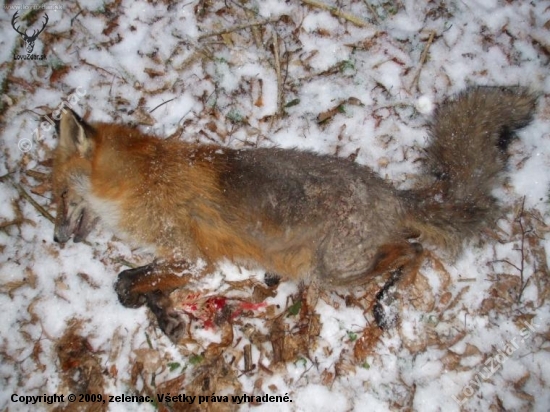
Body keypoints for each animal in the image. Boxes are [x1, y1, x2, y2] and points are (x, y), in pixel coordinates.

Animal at [52, 85, 540, 340]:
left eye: (57, 193)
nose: (55, 239)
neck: (142, 181)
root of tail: (390, 194)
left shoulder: (193, 257)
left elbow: (126, 280)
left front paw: (150, 305)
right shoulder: (189, 261)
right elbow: (143, 280)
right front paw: (163, 313)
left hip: (334, 270)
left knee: (412, 251)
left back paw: (386, 304)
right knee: (409, 247)